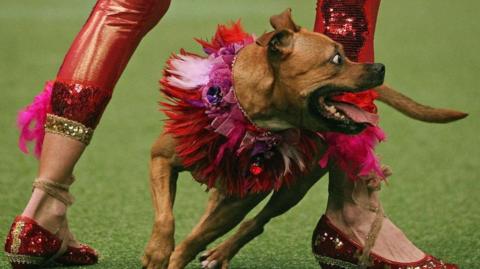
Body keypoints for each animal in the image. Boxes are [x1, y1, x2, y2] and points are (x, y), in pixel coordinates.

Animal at [141, 8, 466, 268]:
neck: (248, 115)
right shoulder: (162, 159)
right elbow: (166, 218)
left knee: (255, 223)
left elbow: (197, 238)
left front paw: (173, 258)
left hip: (292, 190)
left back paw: (220, 253)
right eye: (336, 59)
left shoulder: (241, 201)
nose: (380, 67)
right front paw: (158, 252)